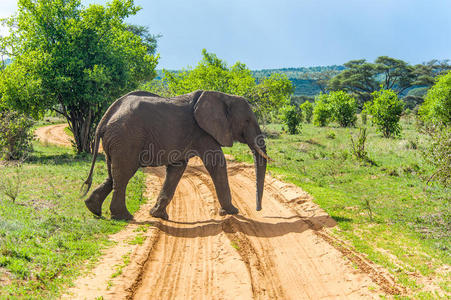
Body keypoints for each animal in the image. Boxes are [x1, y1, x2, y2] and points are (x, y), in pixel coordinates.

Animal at [81, 89, 270, 220]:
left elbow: (177, 168)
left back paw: (93, 209)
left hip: (117, 141)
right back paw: (124, 217)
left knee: (113, 174)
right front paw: (232, 212)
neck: (224, 96)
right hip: (126, 139)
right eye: (247, 121)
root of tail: (105, 118)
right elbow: (216, 162)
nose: (258, 209)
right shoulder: (202, 132)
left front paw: (158, 215)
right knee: (123, 174)